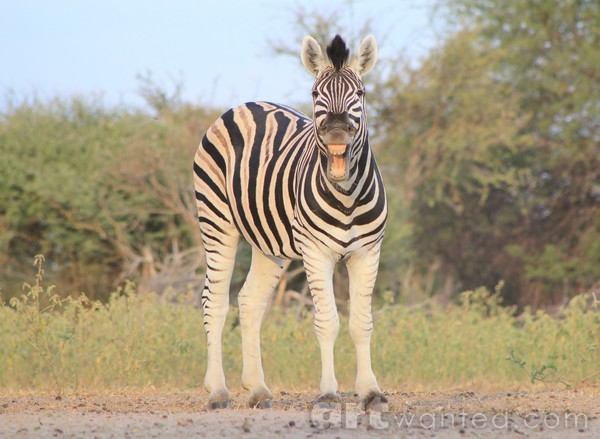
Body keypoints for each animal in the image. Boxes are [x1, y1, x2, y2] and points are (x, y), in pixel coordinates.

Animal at [195, 35, 386, 412]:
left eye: (360, 93)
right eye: (315, 93)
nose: (337, 133)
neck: (346, 195)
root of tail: (244, 106)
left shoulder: (368, 252)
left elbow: (361, 323)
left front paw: (370, 392)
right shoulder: (316, 252)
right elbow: (328, 322)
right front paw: (328, 394)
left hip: (266, 244)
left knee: (249, 302)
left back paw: (257, 389)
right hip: (216, 221)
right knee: (215, 301)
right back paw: (218, 391)